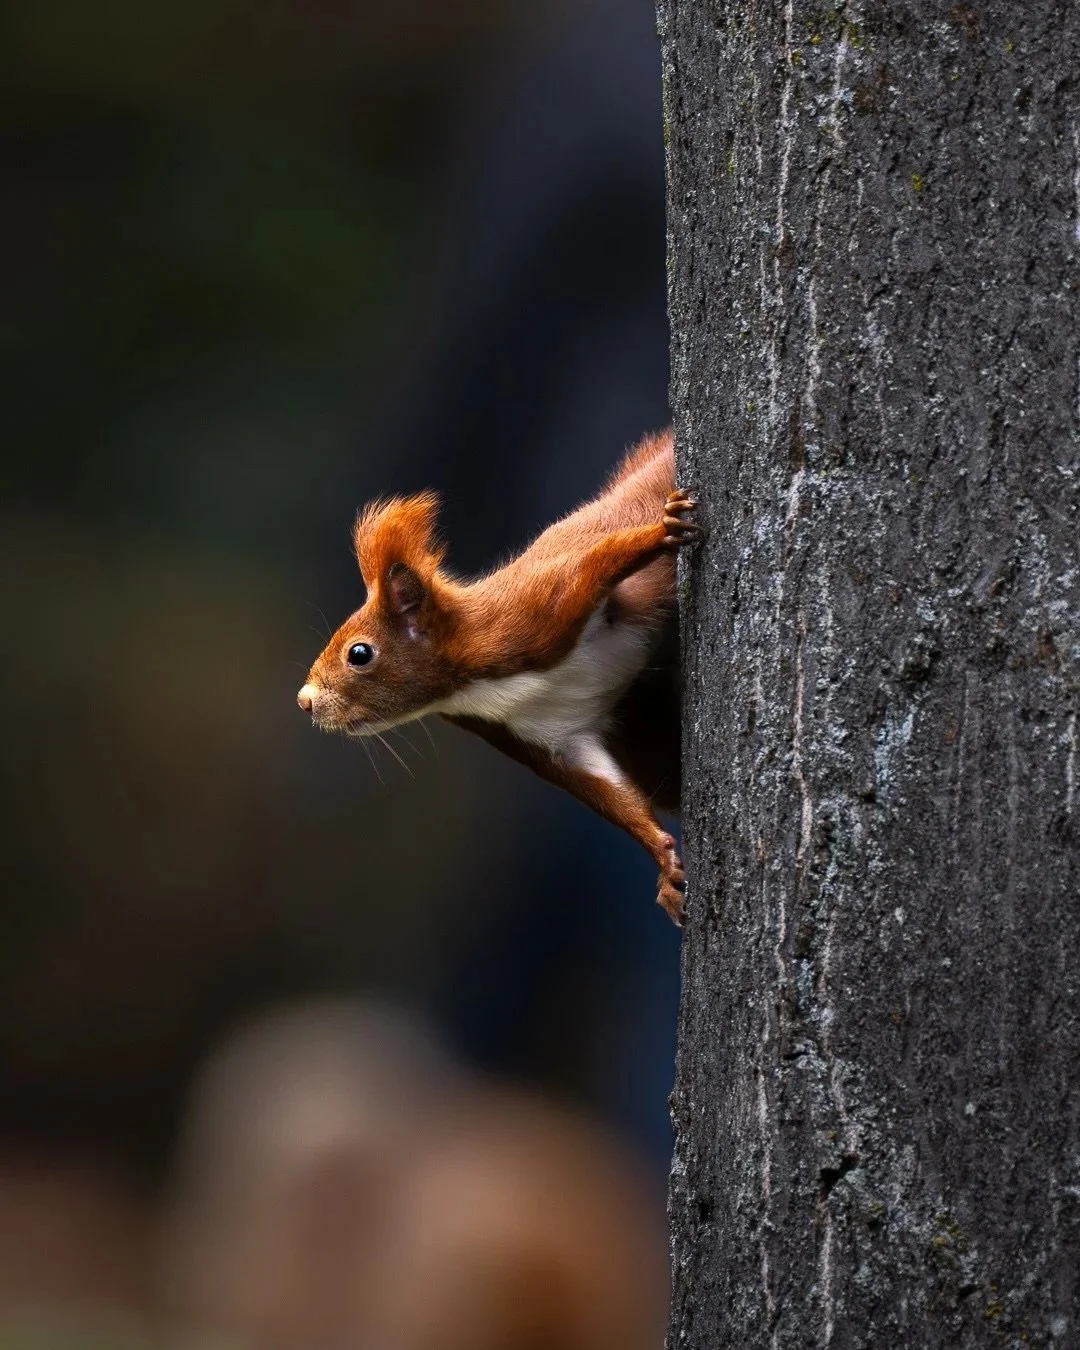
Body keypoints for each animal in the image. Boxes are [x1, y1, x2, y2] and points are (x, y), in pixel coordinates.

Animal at [297, 429, 699, 922]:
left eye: (359, 653)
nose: (305, 700)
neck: (473, 688)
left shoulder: (535, 612)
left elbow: (598, 563)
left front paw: (661, 532)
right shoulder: (553, 736)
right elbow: (608, 792)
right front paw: (664, 863)